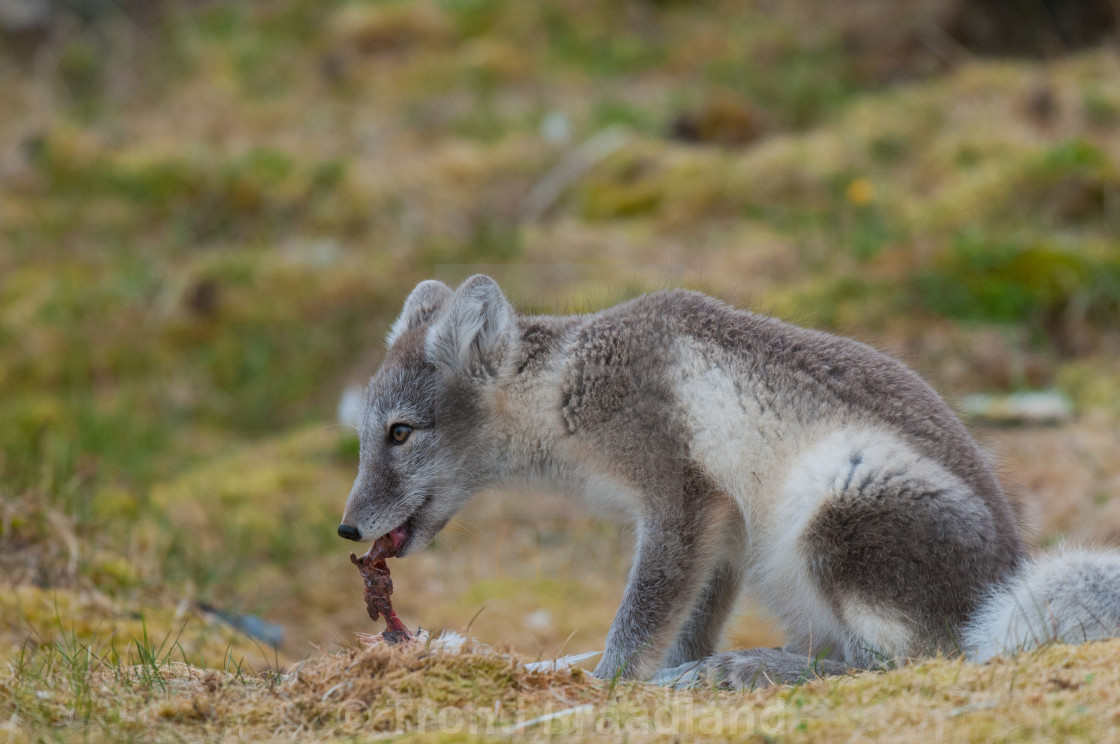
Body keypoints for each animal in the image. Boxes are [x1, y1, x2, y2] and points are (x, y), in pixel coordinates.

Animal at [336, 275, 1120, 690]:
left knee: (895, 662)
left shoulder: (678, 500)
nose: (347, 528)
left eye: (400, 432)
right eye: (366, 431)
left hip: (838, 507)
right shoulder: (725, 527)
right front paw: (653, 671)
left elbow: (643, 613)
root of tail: (1009, 572)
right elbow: (690, 621)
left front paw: (606, 683)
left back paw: (745, 668)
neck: (567, 389)